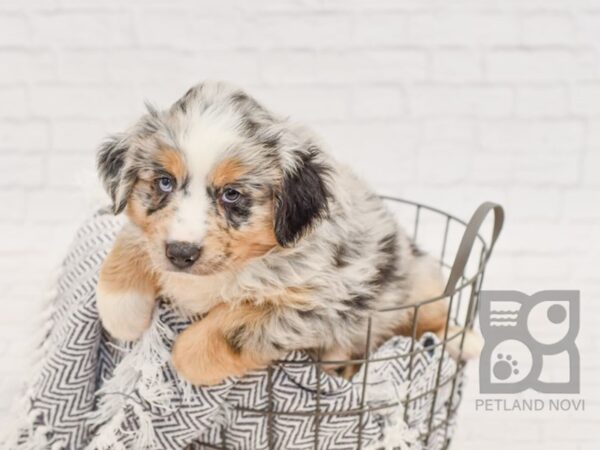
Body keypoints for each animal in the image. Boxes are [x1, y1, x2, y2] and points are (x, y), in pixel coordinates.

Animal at [95, 80, 482, 384]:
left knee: (431, 323)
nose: (181, 254)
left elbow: (220, 333)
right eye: (164, 182)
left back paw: (464, 341)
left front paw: (182, 358)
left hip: (417, 288)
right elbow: (130, 243)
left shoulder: (319, 304)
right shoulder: (151, 235)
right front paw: (123, 313)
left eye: (232, 194)